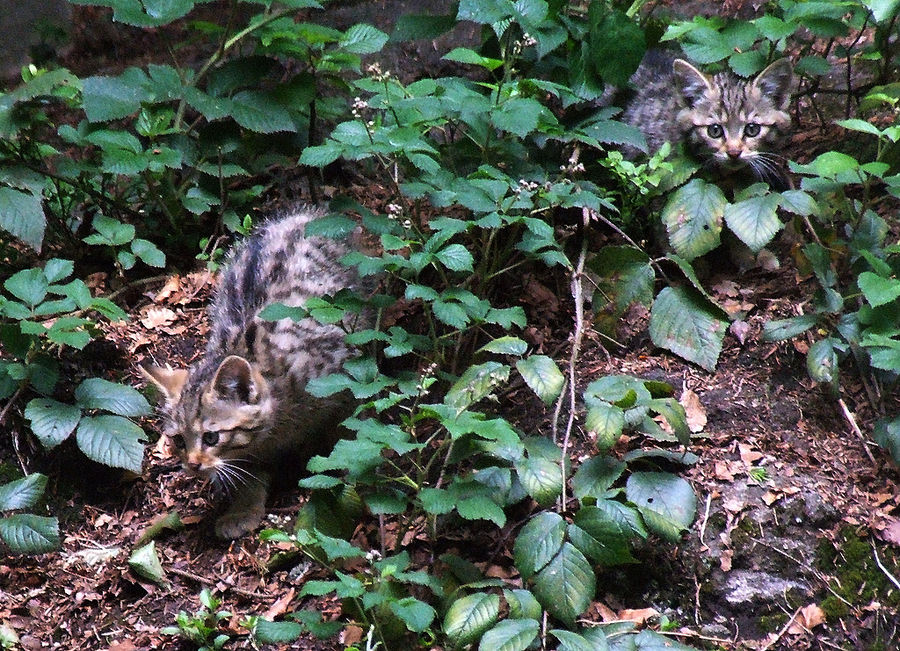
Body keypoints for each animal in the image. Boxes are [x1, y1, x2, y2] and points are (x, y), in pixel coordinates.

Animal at [142, 209, 368, 540]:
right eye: (179, 441)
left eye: (211, 437)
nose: (193, 465)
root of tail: (302, 217)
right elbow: (247, 473)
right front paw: (243, 509)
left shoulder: (343, 383)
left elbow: (350, 432)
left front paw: (349, 467)